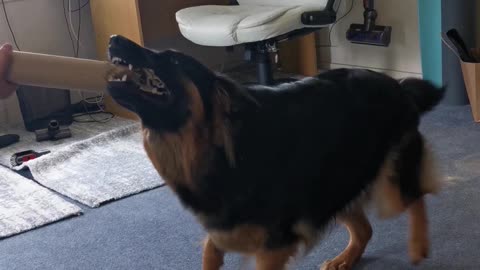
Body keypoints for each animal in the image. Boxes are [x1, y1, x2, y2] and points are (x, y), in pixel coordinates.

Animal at [107, 34, 444, 270]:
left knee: (415, 198)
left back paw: (418, 245)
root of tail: (398, 85)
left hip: (388, 182)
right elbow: (210, 250)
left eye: (174, 62)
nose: (113, 40)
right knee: (365, 229)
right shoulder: (226, 228)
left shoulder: (274, 244)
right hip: (331, 184)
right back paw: (346, 258)